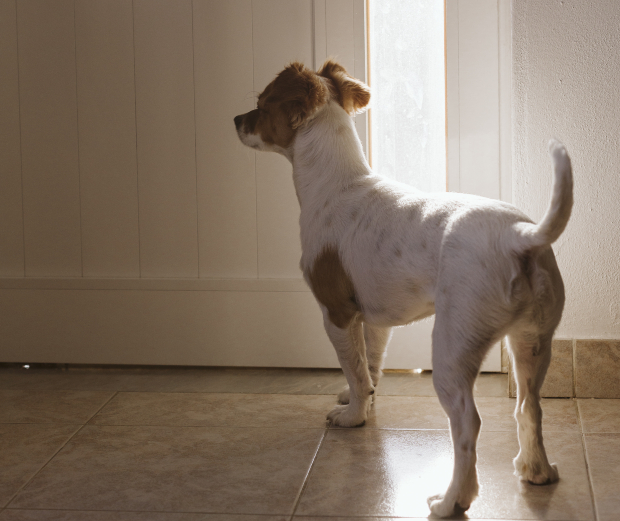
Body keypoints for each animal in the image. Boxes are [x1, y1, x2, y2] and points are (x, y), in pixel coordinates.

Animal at [234, 60, 572, 516]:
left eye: (261, 104)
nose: (235, 120)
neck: (337, 185)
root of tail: (520, 236)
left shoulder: (336, 314)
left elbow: (354, 368)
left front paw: (352, 417)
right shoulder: (375, 319)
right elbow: (368, 367)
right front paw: (361, 401)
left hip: (452, 350)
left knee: (468, 425)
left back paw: (451, 500)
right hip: (532, 342)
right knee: (528, 407)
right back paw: (536, 470)